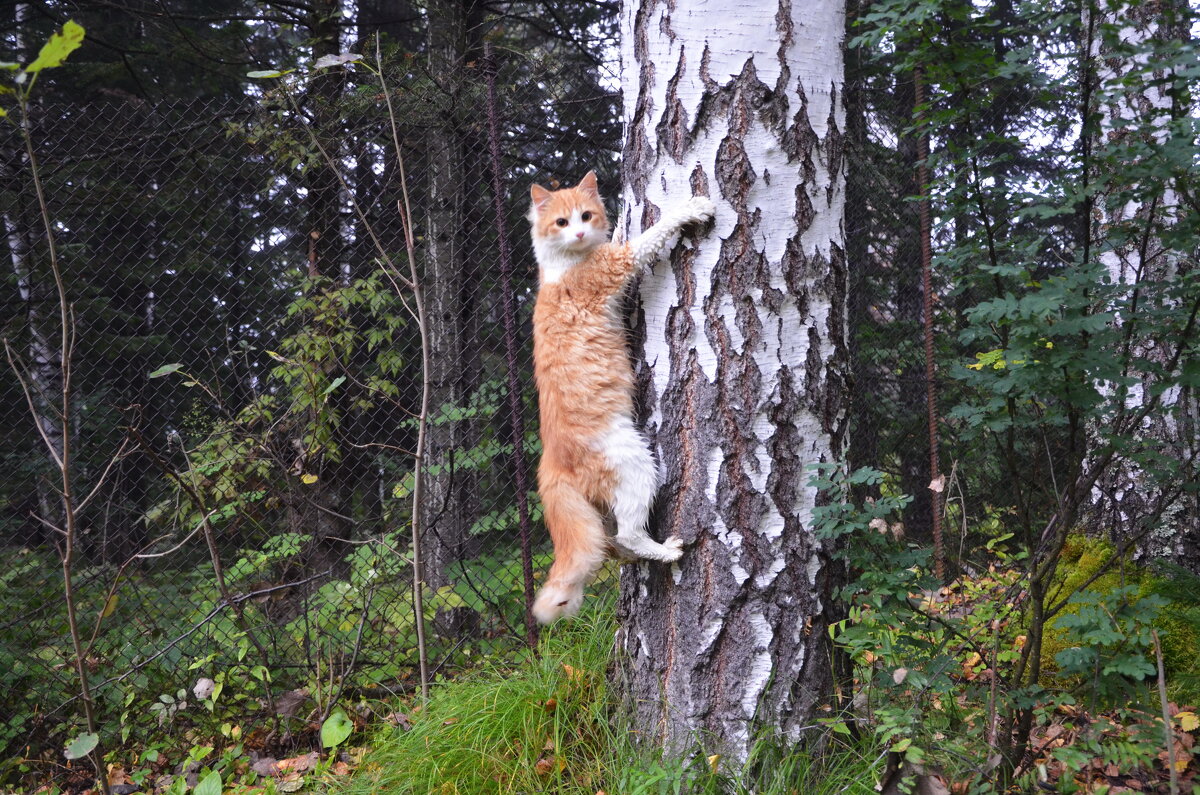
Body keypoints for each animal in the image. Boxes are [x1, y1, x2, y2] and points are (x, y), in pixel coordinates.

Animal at [525, 171, 710, 624]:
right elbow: (651, 234)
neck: (564, 265)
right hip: (635, 462)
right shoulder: (618, 264)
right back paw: (667, 551)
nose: (579, 232)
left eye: (586, 216)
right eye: (561, 222)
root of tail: (549, 461)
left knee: (615, 546)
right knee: (629, 534)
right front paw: (691, 209)